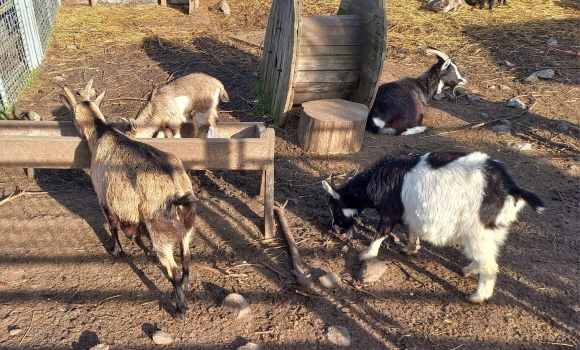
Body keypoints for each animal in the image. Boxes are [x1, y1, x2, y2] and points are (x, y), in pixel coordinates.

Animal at [59, 80, 197, 320]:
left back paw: (180, 308)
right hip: (187, 225)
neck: (103, 134)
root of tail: (178, 191)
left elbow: (112, 224)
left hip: (159, 228)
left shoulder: (103, 196)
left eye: (72, 115)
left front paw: (116, 249)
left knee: (173, 269)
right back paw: (187, 283)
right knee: (186, 254)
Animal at [322, 152, 544, 302]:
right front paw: (410, 249)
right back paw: (468, 270)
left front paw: (367, 254)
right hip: (489, 231)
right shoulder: (409, 213)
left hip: (477, 231)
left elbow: (382, 232)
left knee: (489, 265)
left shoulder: (389, 211)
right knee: (487, 256)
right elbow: (412, 230)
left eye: (335, 209)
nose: (333, 229)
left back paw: (478, 297)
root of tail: (512, 189)